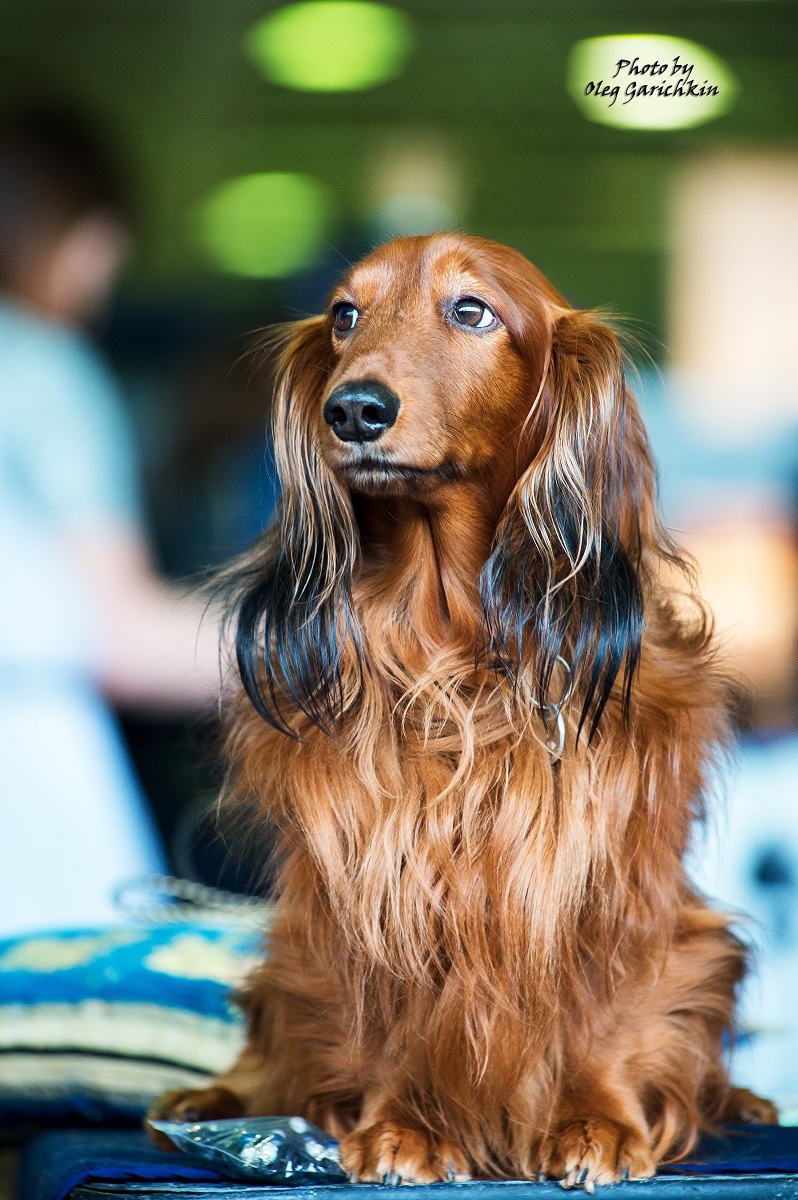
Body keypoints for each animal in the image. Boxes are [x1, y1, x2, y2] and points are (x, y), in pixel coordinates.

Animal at [152, 236, 772, 1190]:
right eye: (345, 314)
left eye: (472, 310)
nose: (353, 409)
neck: (452, 644)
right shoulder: (376, 870)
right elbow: (391, 1017)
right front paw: (405, 1125)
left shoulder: (612, 870)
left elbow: (611, 1009)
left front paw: (596, 1121)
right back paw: (211, 1097)